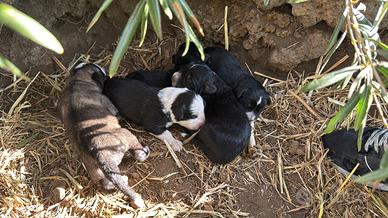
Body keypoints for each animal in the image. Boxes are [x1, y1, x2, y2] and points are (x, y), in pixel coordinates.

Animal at [58, 62, 151, 208]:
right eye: (100, 72)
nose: (105, 71)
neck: (76, 82)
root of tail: (99, 153)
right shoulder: (107, 102)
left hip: (95, 170)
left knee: (106, 183)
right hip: (127, 135)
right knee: (137, 153)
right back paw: (144, 153)